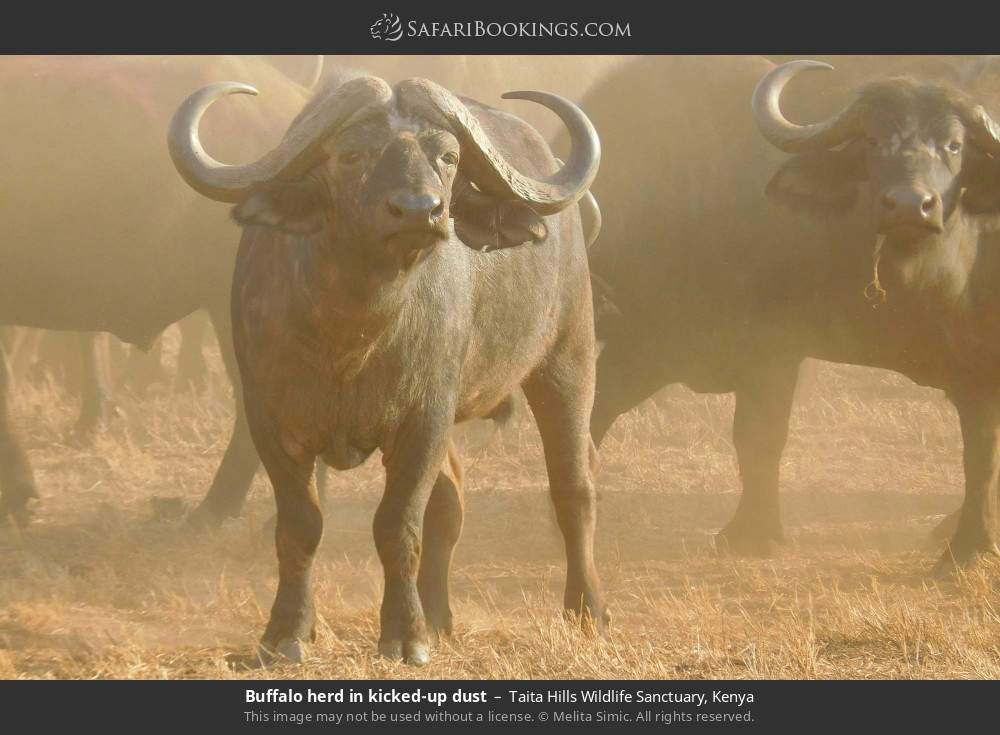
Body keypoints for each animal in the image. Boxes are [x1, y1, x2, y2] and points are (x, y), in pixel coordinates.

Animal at [168, 74, 604, 665]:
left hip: (567, 356)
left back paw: (586, 610)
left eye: (448, 156)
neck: (352, 333)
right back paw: (439, 615)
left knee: (572, 486)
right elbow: (300, 526)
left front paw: (404, 635)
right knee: (452, 498)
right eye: (353, 154)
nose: (421, 210)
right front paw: (286, 631)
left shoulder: (423, 422)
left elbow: (398, 526)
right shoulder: (268, 420)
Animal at [585, 56, 1000, 572]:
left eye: (954, 145)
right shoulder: (653, 338)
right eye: (872, 140)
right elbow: (597, 408)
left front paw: (750, 532)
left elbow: (760, 434)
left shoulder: (771, 348)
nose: (910, 206)